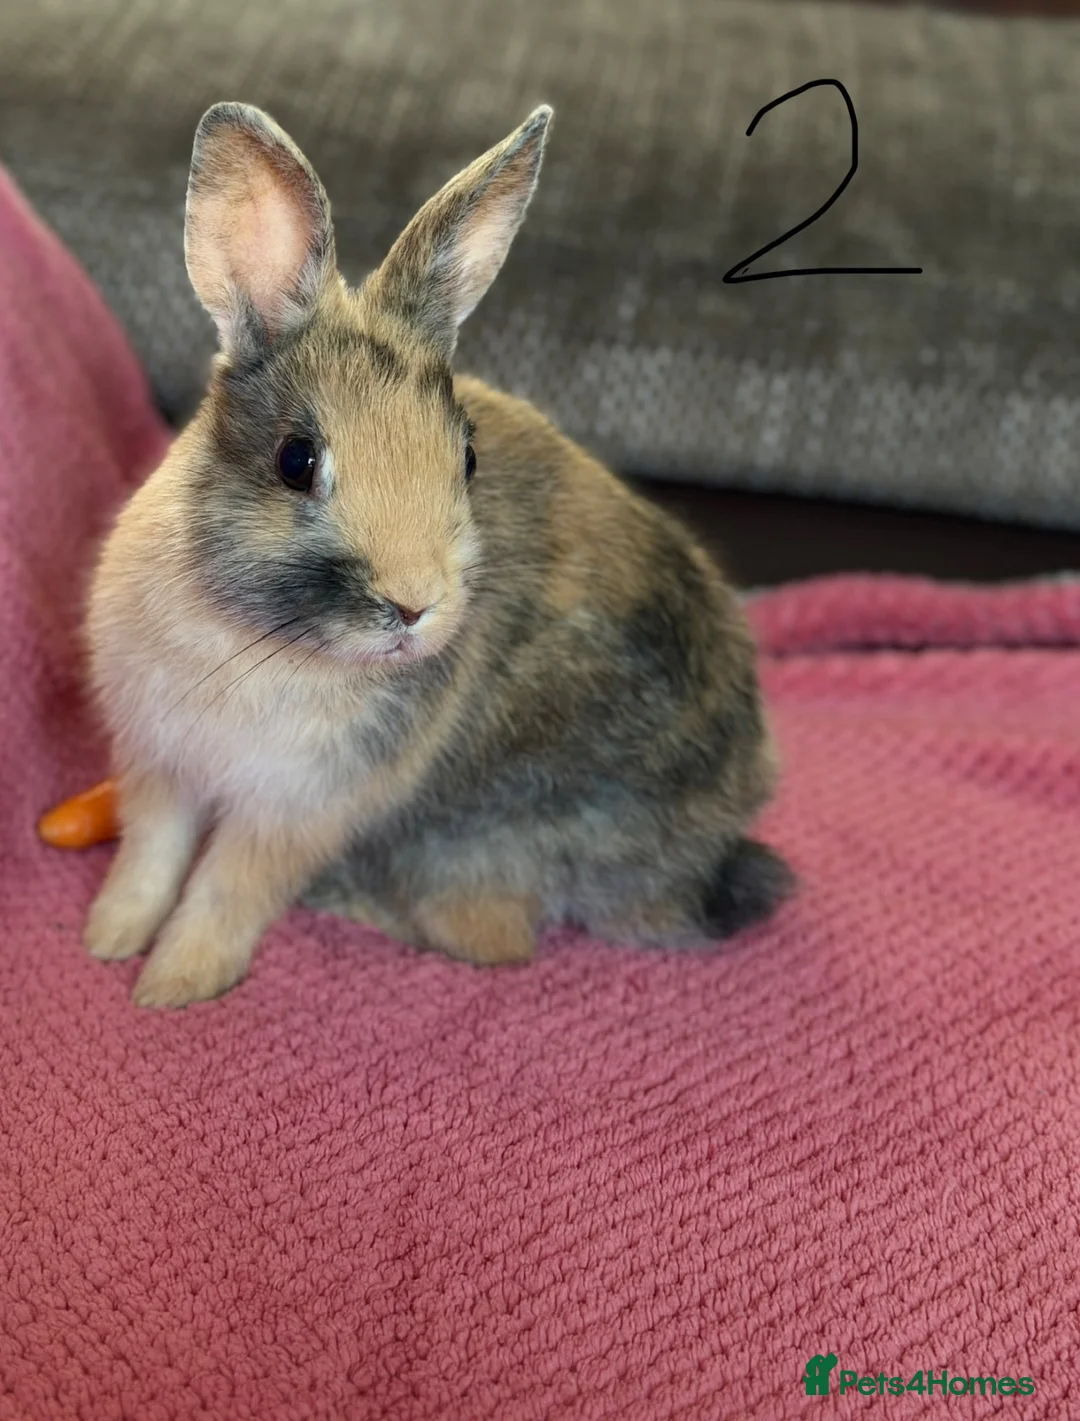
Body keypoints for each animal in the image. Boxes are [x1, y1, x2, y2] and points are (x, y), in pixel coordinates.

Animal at [84, 100, 793, 1008]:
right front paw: (109, 940)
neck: (251, 637)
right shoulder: (158, 766)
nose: (413, 605)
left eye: (467, 457)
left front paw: (173, 983)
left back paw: (352, 900)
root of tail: (704, 861)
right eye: (296, 460)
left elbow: (225, 890)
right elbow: (151, 858)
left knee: (491, 940)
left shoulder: (295, 813)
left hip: (470, 847)